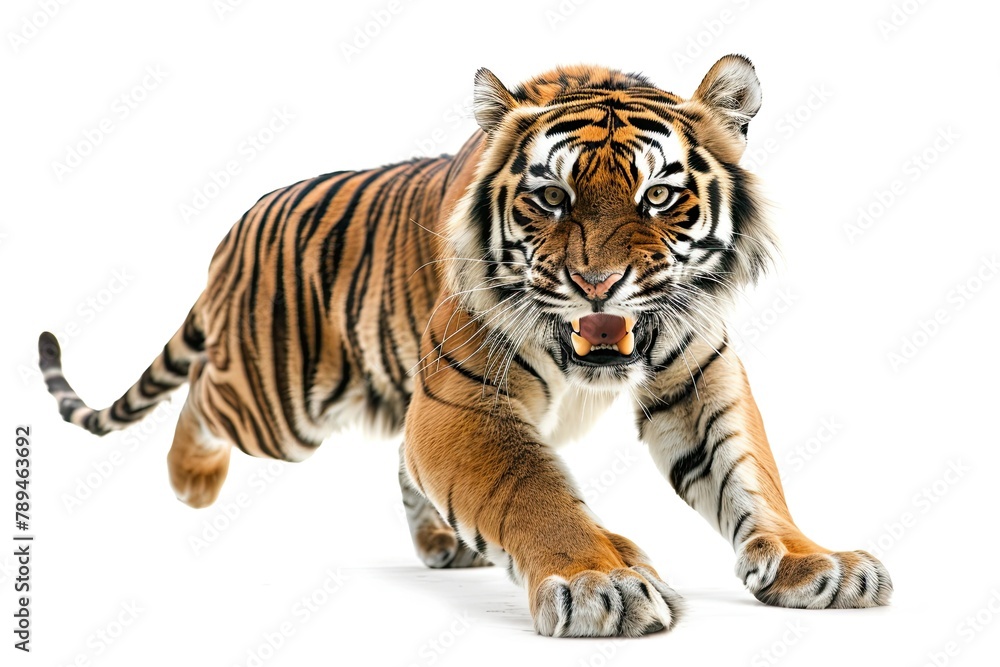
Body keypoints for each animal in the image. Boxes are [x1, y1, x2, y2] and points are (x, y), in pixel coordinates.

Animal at [38, 54, 892, 638]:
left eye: (658, 194)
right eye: (552, 195)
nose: (598, 283)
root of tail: (235, 228)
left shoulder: (700, 375)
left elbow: (749, 477)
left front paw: (818, 562)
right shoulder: (462, 398)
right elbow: (533, 490)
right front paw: (601, 582)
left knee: (402, 462)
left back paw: (447, 540)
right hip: (278, 405)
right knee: (202, 395)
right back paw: (192, 480)